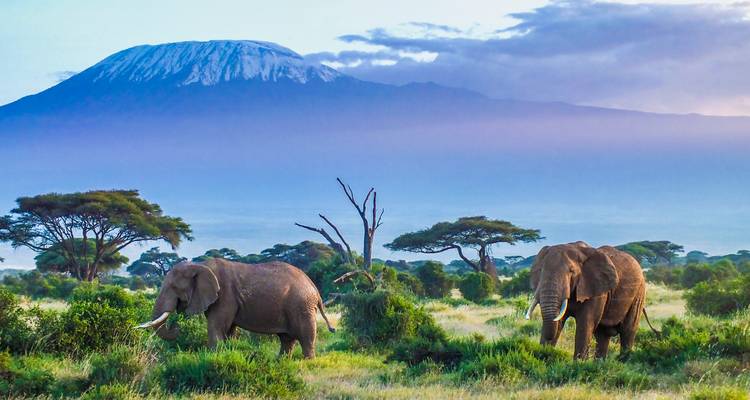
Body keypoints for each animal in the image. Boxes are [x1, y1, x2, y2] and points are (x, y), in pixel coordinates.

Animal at [136, 258, 335, 358]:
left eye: (174, 287)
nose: (176, 327)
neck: (200, 265)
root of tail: (314, 287)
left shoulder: (225, 296)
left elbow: (216, 327)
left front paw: (213, 358)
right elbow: (228, 330)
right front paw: (226, 353)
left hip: (302, 305)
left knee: (305, 336)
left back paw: (307, 362)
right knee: (286, 338)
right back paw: (281, 362)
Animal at [525, 241, 656, 359]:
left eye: (571, 271)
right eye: (541, 270)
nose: (544, 352)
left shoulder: (596, 289)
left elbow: (586, 323)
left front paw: (578, 365)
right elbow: (559, 320)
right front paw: (543, 358)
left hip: (639, 293)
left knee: (628, 331)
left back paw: (623, 361)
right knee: (603, 334)